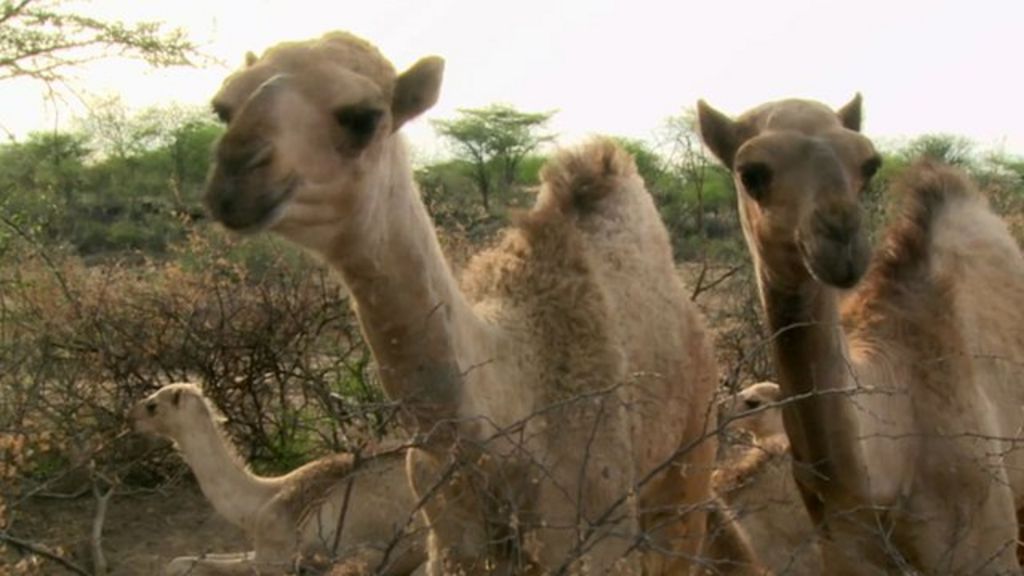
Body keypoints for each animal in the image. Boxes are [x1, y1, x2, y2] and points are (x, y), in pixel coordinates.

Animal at [129, 381, 428, 573]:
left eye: (153, 405)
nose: (131, 417)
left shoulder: (274, 556)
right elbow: (179, 560)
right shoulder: (261, 549)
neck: (262, 499)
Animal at [201, 32, 720, 573]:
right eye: (223, 107)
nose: (235, 176)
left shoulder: (596, 525)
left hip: (690, 455)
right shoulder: (450, 531)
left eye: (364, 116)